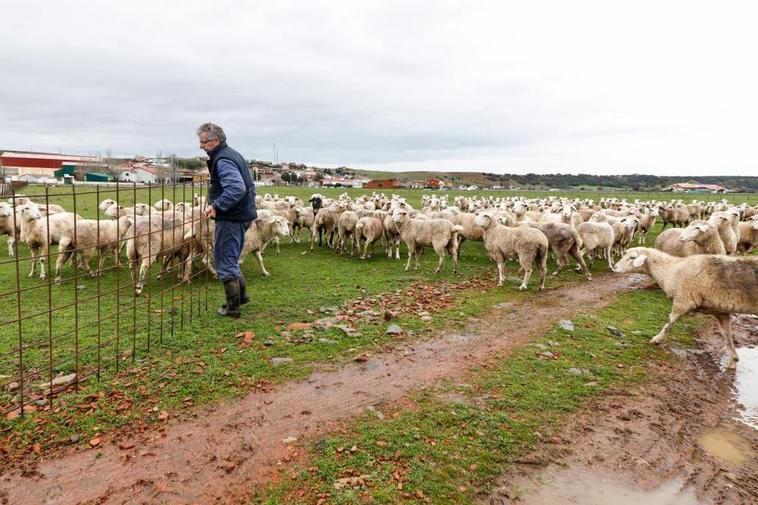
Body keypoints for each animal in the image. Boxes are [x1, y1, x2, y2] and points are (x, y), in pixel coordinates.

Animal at [616, 247, 756, 368]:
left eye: (632, 257)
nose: (615, 267)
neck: (670, 270)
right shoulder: (720, 311)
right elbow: (726, 335)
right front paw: (733, 359)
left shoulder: (683, 301)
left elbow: (670, 322)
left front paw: (657, 339)